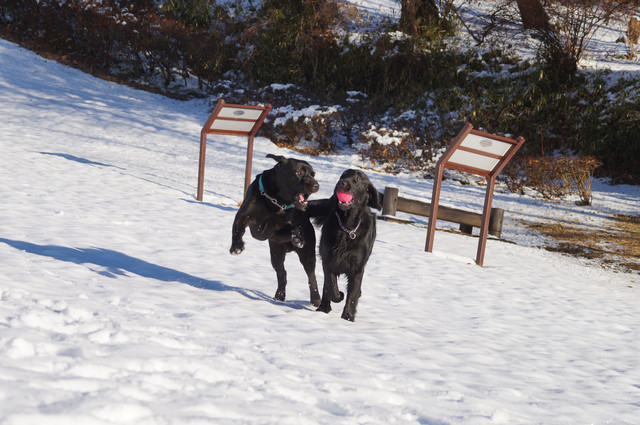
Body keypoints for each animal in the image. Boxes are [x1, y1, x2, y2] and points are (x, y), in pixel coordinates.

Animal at [230, 154, 321, 306]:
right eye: (298, 172)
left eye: (313, 174)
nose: (316, 185)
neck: (276, 200)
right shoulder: (244, 216)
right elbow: (238, 230)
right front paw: (236, 247)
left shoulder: (279, 229)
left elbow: (294, 228)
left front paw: (298, 238)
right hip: (276, 254)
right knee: (282, 274)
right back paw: (279, 295)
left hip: (307, 255)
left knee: (311, 277)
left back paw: (316, 299)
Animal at [307, 169, 381, 321]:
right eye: (343, 175)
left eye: (358, 178)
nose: (342, 183)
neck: (346, 228)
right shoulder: (328, 259)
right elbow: (331, 287)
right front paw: (339, 296)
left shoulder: (357, 268)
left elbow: (352, 295)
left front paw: (347, 317)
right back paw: (323, 308)